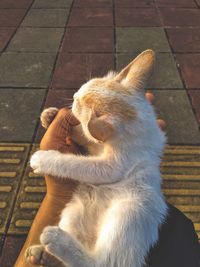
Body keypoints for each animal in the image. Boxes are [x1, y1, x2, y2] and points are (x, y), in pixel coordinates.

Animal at [27, 49, 167, 267]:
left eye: (79, 103)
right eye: (85, 87)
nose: (74, 96)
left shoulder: (113, 167)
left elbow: (76, 164)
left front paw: (43, 159)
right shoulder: (95, 146)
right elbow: (85, 135)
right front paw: (50, 116)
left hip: (130, 211)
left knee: (101, 262)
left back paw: (54, 239)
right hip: (74, 210)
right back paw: (43, 254)